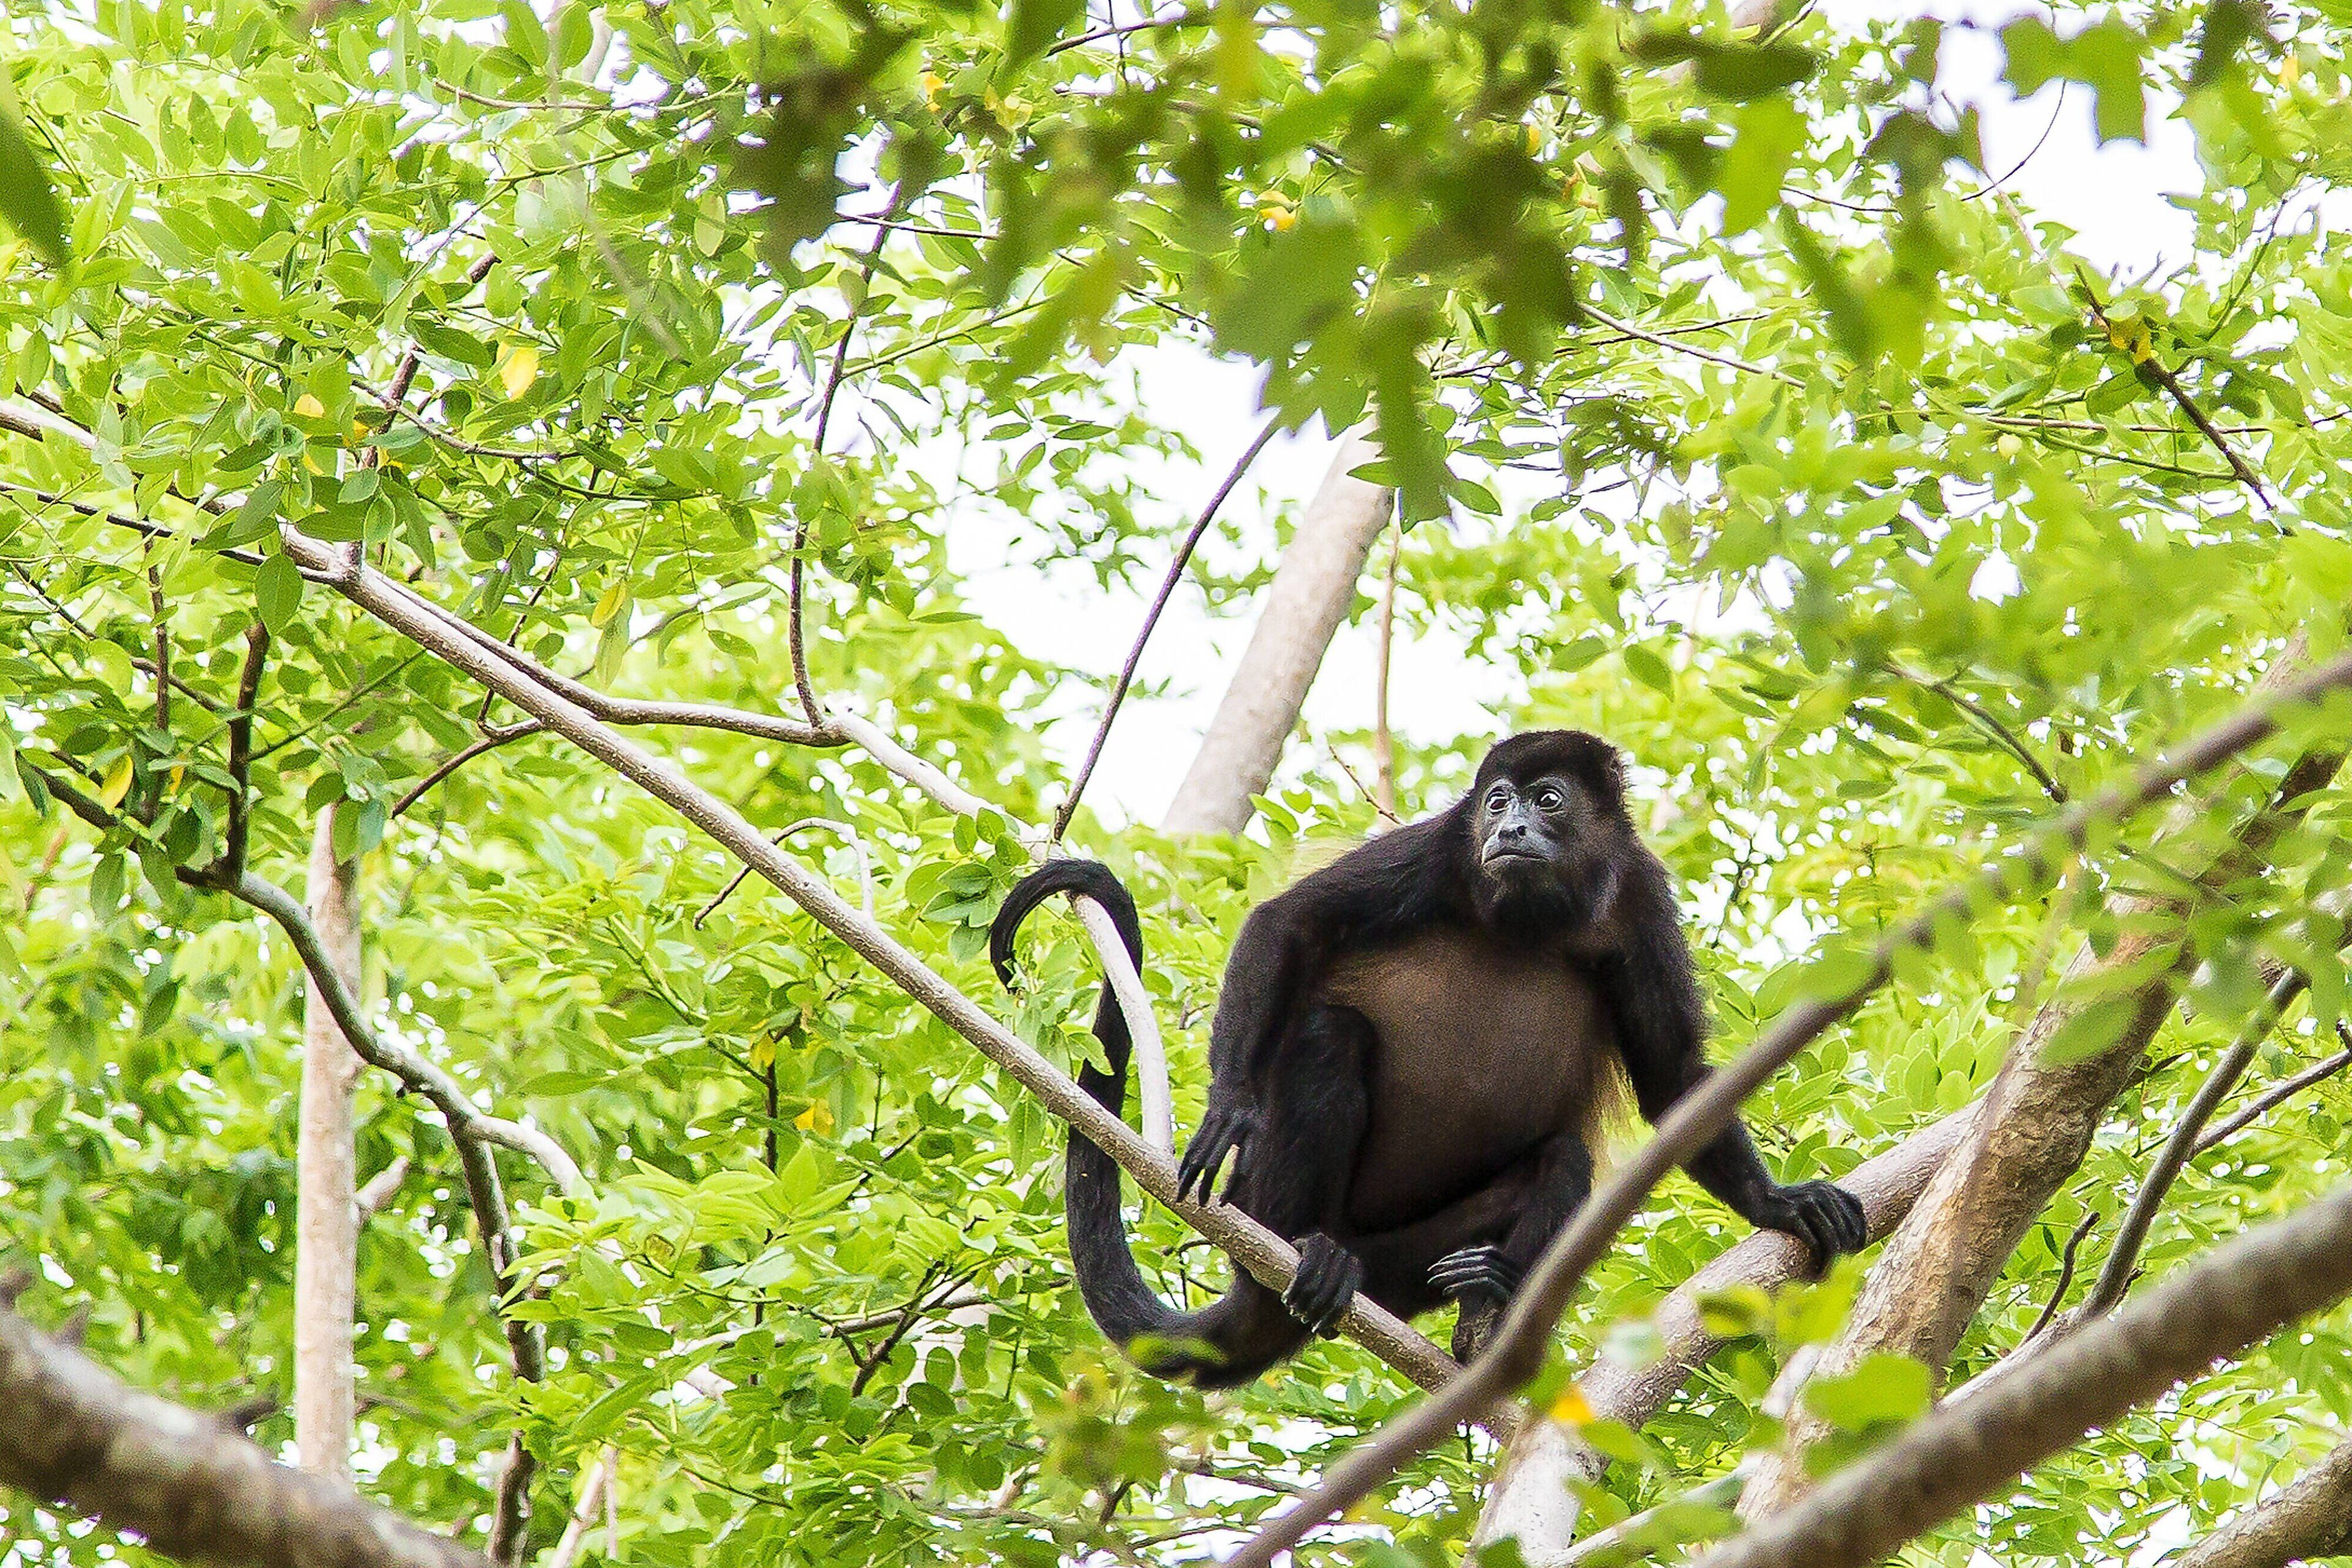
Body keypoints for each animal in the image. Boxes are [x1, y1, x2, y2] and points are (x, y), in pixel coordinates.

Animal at [989, 730, 1866, 1388]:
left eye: (1549, 799)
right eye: (1497, 800)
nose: (1509, 830)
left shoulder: (1642, 899)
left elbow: (1673, 1077)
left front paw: (1776, 1201)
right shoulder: (1443, 844)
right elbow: (1289, 922)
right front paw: (1231, 1101)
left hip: (1405, 1266)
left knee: (1564, 1158)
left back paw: (1485, 1308)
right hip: (1265, 1197)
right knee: (1328, 1036)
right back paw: (1305, 1247)